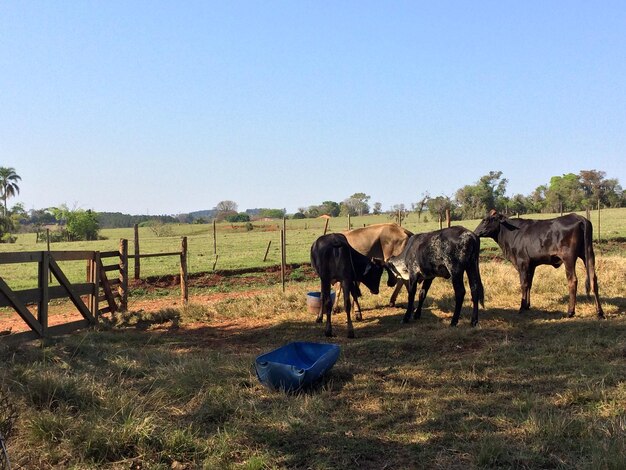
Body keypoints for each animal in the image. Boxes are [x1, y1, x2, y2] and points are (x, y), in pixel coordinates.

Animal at [476, 210, 604, 318]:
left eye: (486, 220)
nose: (476, 232)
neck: (512, 234)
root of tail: (578, 217)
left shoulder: (522, 263)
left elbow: (524, 284)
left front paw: (521, 307)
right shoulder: (531, 265)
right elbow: (529, 284)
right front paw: (527, 305)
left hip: (569, 257)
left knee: (573, 280)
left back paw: (570, 312)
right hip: (588, 254)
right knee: (593, 278)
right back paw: (600, 312)